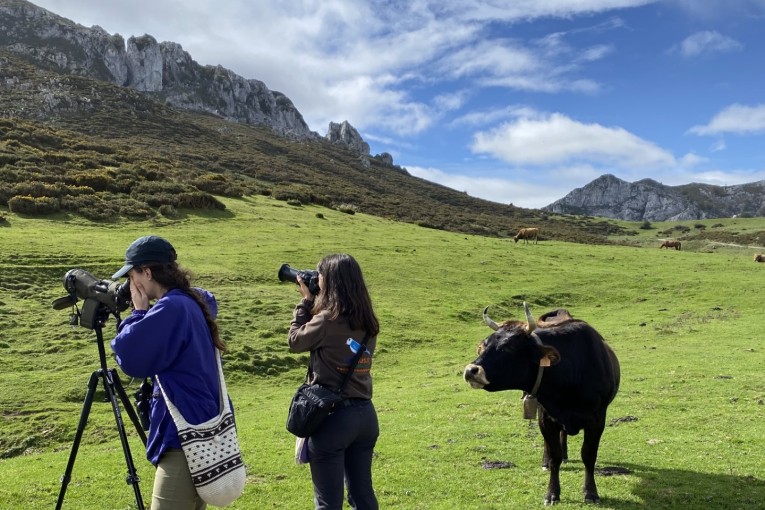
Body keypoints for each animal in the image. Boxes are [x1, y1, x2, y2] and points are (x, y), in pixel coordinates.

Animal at [462, 302, 616, 506]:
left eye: (509, 347)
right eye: (485, 345)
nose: (471, 370)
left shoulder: (597, 419)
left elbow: (588, 455)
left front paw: (590, 492)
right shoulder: (546, 417)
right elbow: (554, 457)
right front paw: (552, 493)